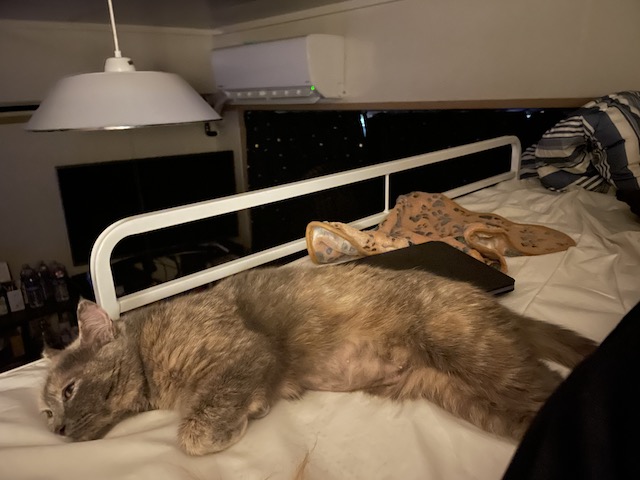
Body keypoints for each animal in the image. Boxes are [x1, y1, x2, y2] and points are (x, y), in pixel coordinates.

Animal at [40, 263, 597, 455]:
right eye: (46, 412)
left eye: (69, 390)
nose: (58, 430)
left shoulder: (243, 352)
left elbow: (195, 433)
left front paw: (231, 423)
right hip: (471, 398)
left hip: (480, 357)